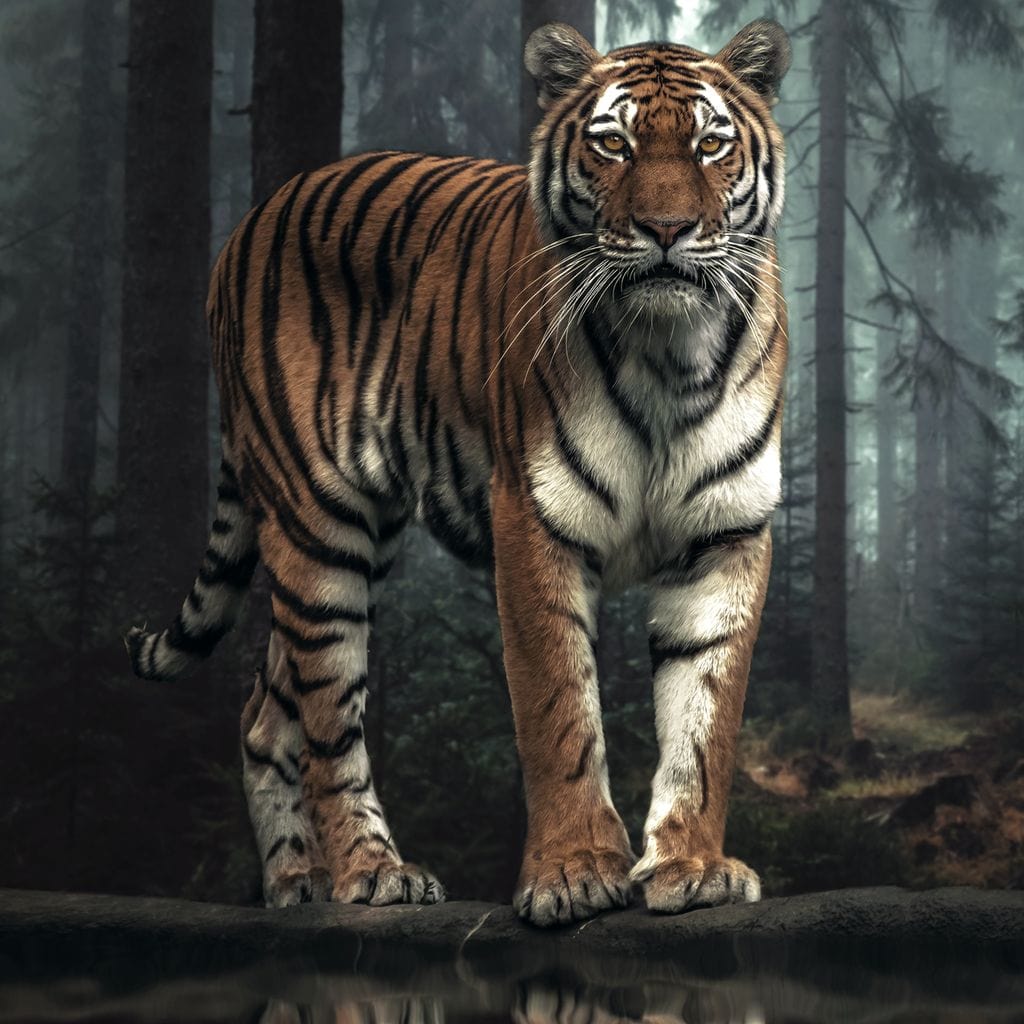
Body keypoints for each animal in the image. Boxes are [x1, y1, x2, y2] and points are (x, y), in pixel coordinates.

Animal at [126, 18, 790, 927]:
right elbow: (558, 709)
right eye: (612, 145)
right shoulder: (534, 519)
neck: (669, 353)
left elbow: (705, 719)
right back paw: (370, 873)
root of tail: (249, 221)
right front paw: (575, 873)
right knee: (327, 718)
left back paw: (295, 884)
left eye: (710, 144)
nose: (666, 229)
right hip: (317, 528)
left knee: (268, 710)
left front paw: (691, 866)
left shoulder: (725, 534)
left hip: (359, 541)